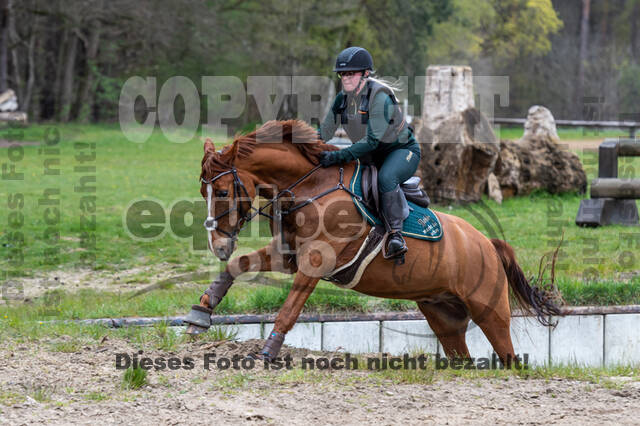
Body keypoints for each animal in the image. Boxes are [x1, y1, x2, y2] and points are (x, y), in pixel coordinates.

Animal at [188, 119, 564, 362]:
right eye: (203, 192)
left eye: (222, 192)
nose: (218, 246)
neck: (310, 188)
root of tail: (487, 243)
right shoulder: (288, 256)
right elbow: (238, 266)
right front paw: (200, 312)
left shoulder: (315, 262)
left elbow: (289, 309)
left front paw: (269, 351)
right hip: (445, 317)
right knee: (462, 357)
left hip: (491, 312)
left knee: (509, 357)